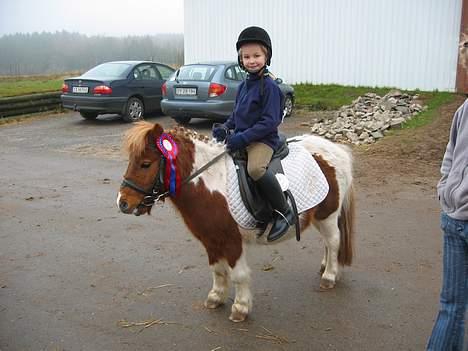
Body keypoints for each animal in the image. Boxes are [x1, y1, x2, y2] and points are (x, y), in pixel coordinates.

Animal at [117, 121, 354, 324]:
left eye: (145, 164)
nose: (122, 203)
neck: (210, 183)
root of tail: (336, 150)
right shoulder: (210, 240)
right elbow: (217, 270)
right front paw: (215, 297)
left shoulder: (232, 241)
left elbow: (238, 275)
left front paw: (240, 308)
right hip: (319, 217)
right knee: (328, 243)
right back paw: (325, 267)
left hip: (328, 215)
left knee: (334, 241)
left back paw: (329, 276)